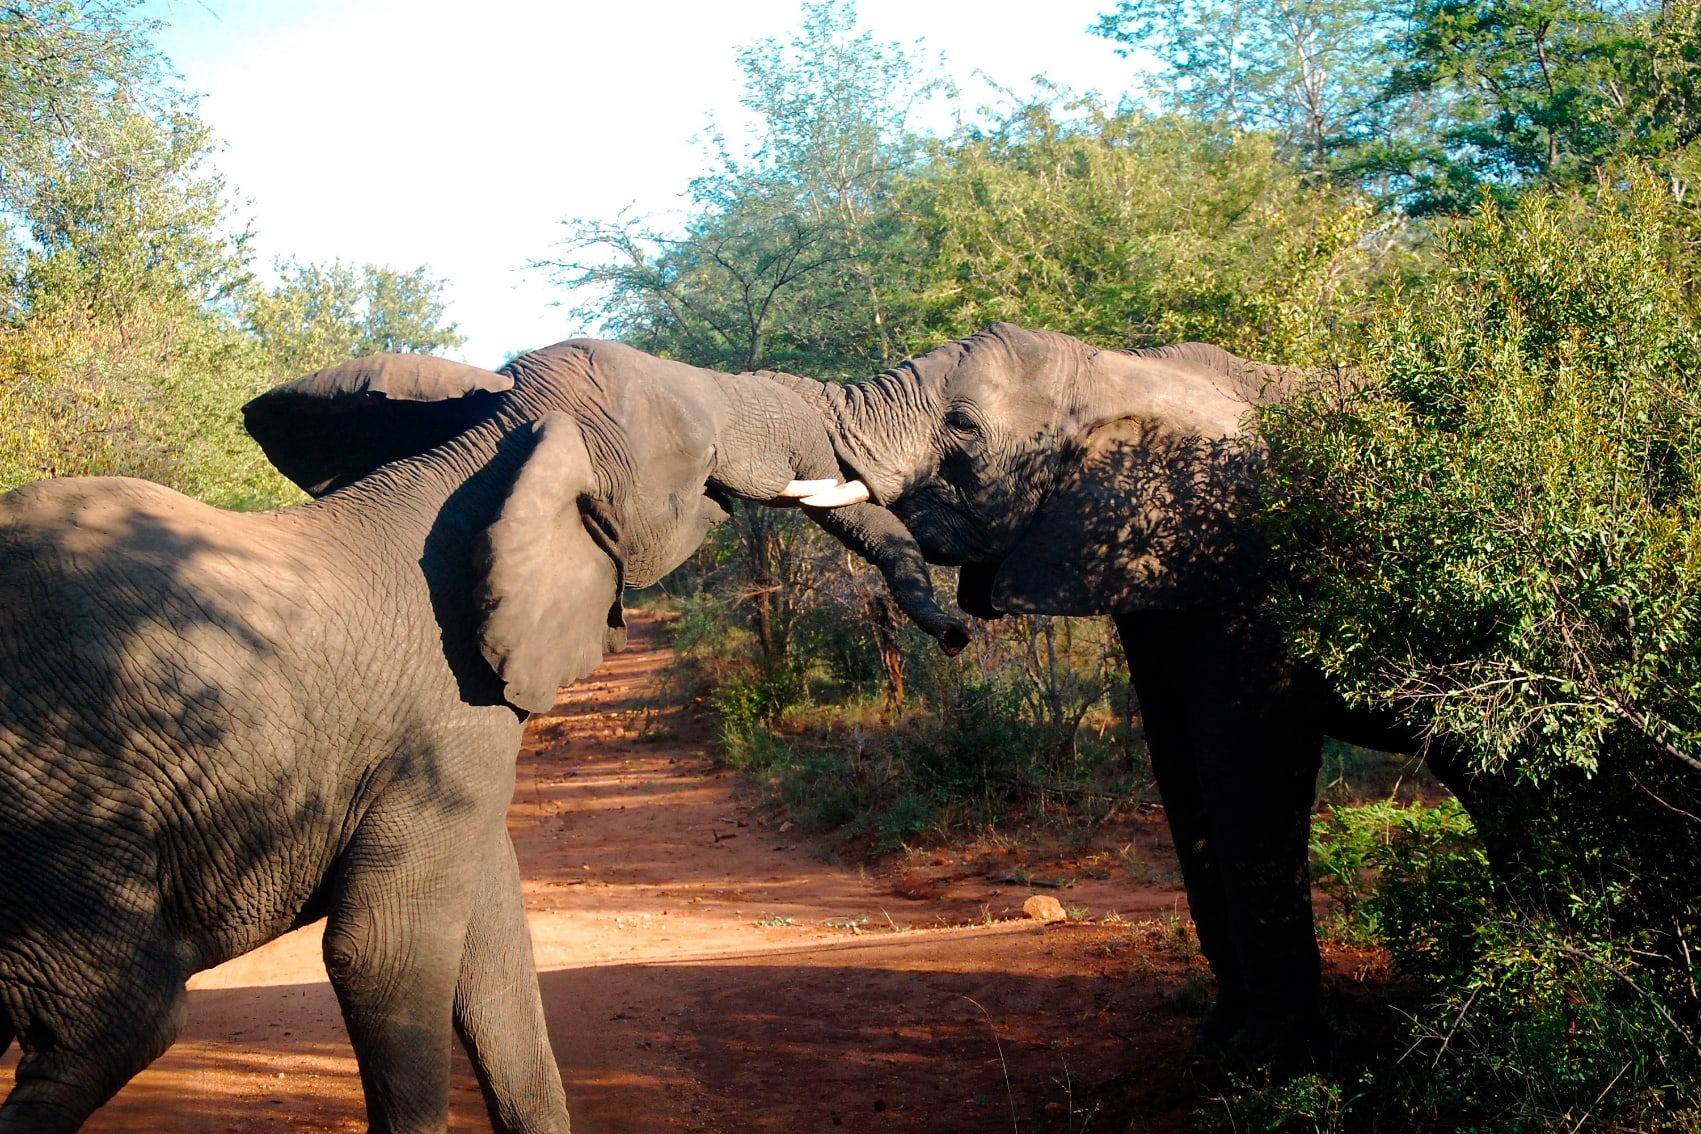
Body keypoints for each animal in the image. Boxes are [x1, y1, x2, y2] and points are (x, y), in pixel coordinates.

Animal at [0, 340, 904, 1134]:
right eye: (699, 449)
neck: (490, 454)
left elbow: (492, 938)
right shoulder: (442, 718)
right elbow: (385, 950)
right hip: (53, 785)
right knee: (113, 1022)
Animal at [772, 321, 1462, 1067]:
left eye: (962, 425)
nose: (956, 637)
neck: (1116, 376)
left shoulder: (1251, 567)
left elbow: (1248, 769)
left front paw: (1281, 1065)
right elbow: (1178, 764)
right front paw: (1220, 1042)